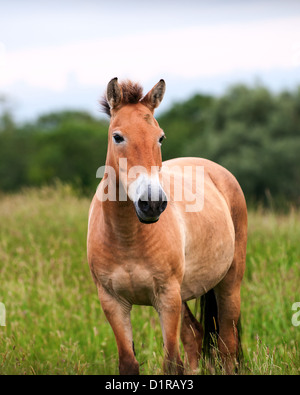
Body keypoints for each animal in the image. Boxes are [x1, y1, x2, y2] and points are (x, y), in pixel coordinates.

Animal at [86, 78, 246, 378]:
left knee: (227, 345)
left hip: (228, 283)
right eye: (117, 137)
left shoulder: (166, 297)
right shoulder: (113, 302)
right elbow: (129, 363)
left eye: (160, 137)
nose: (151, 203)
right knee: (195, 336)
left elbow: (172, 363)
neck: (127, 236)